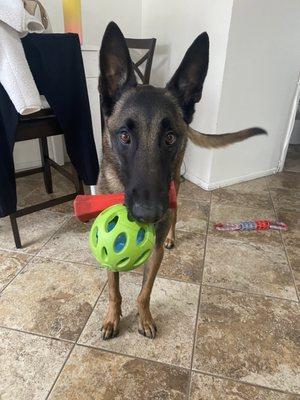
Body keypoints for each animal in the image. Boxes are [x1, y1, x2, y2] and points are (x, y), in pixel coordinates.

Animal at [97, 21, 266, 340]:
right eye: (124, 136)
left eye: (169, 138)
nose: (148, 215)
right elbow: (113, 288)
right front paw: (112, 318)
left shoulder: (156, 250)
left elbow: (144, 292)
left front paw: (145, 318)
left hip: (174, 184)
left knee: (176, 214)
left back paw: (172, 235)